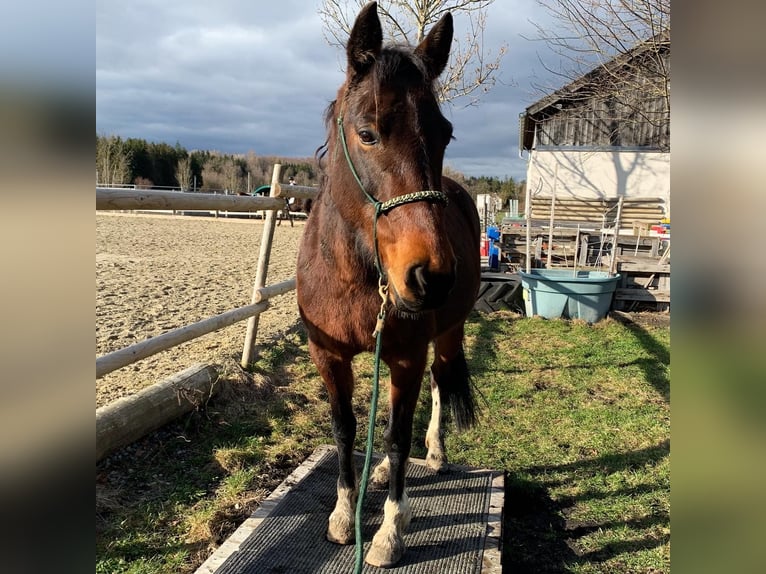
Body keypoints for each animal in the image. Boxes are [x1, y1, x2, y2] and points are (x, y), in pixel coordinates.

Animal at [296, 2, 480, 567]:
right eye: (368, 133)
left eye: (445, 134)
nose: (430, 275)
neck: (355, 275)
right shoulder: (328, 355)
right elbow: (345, 429)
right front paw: (343, 512)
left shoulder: (407, 354)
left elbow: (399, 437)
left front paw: (390, 532)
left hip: (446, 334)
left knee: (439, 385)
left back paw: (435, 453)